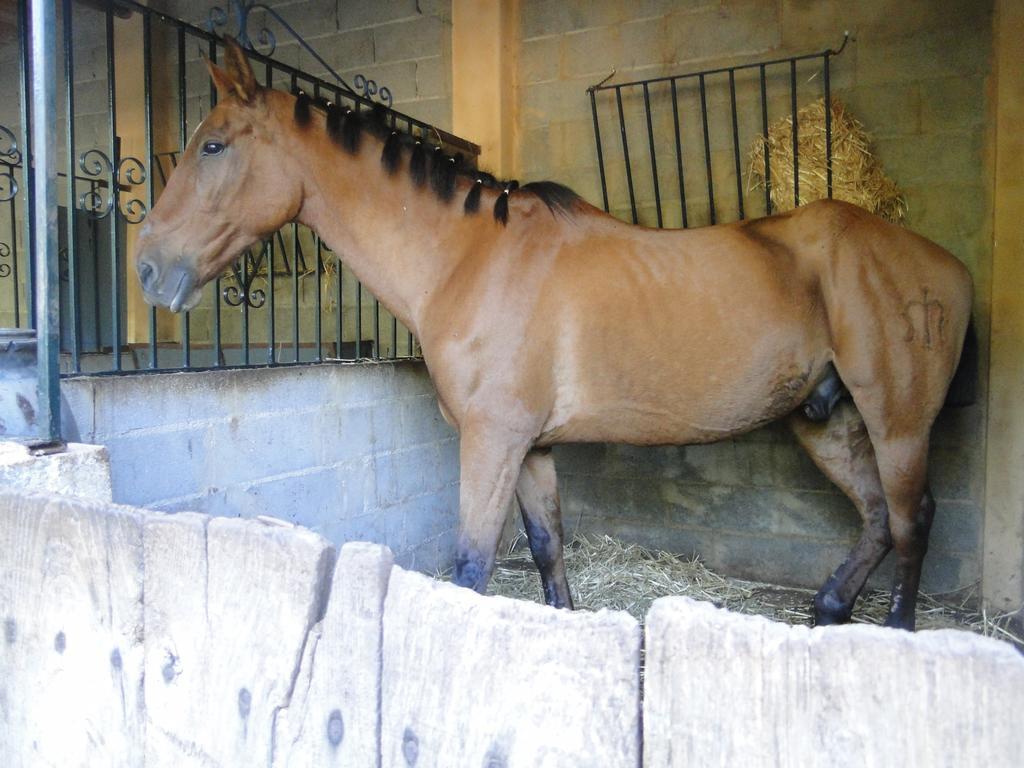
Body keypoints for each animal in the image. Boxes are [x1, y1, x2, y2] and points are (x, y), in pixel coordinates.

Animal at [132, 40, 970, 630]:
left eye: (214, 146)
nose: (147, 267)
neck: (468, 260)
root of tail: (947, 265)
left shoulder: (491, 440)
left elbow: (473, 567)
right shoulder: (529, 447)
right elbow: (546, 549)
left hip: (896, 422)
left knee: (910, 519)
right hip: (824, 418)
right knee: (876, 518)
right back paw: (830, 609)